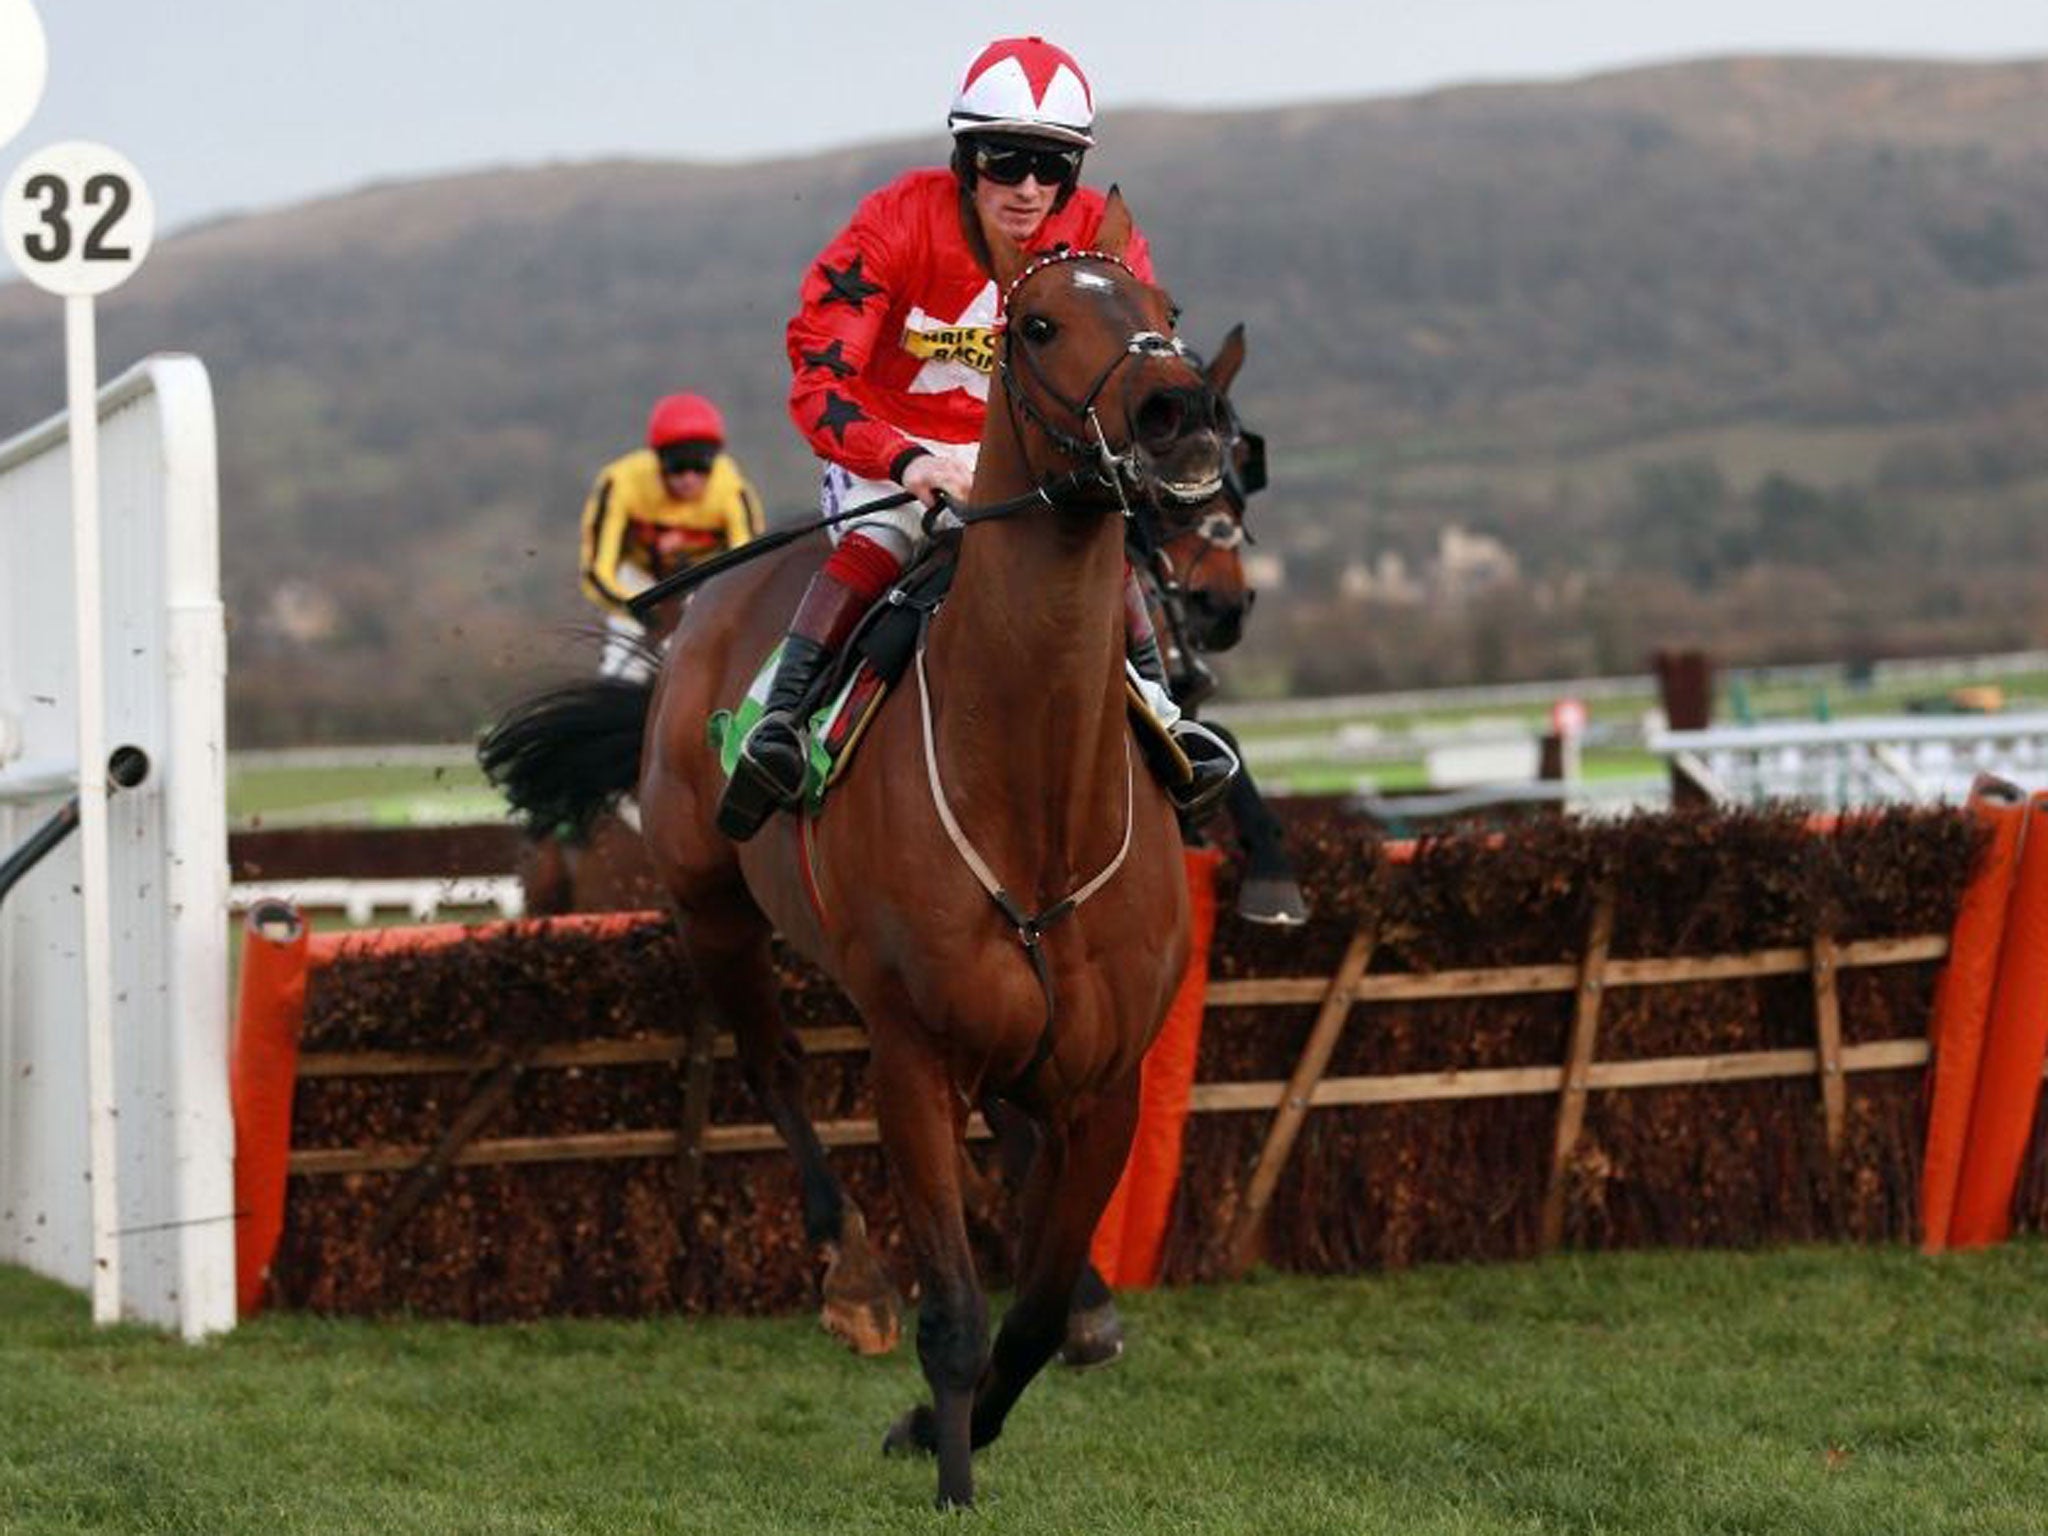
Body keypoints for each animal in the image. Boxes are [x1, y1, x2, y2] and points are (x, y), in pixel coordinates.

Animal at [487, 189, 1220, 1507]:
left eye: (1163, 305)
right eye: (1036, 325)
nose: (1178, 413)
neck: (1037, 805)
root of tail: (687, 639)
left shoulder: (1106, 1082)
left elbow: (1035, 1309)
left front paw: (970, 1406)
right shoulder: (910, 1057)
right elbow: (958, 1314)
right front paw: (948, 1465)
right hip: (712, 909)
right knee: (774, 1071)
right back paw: (855, 1282)